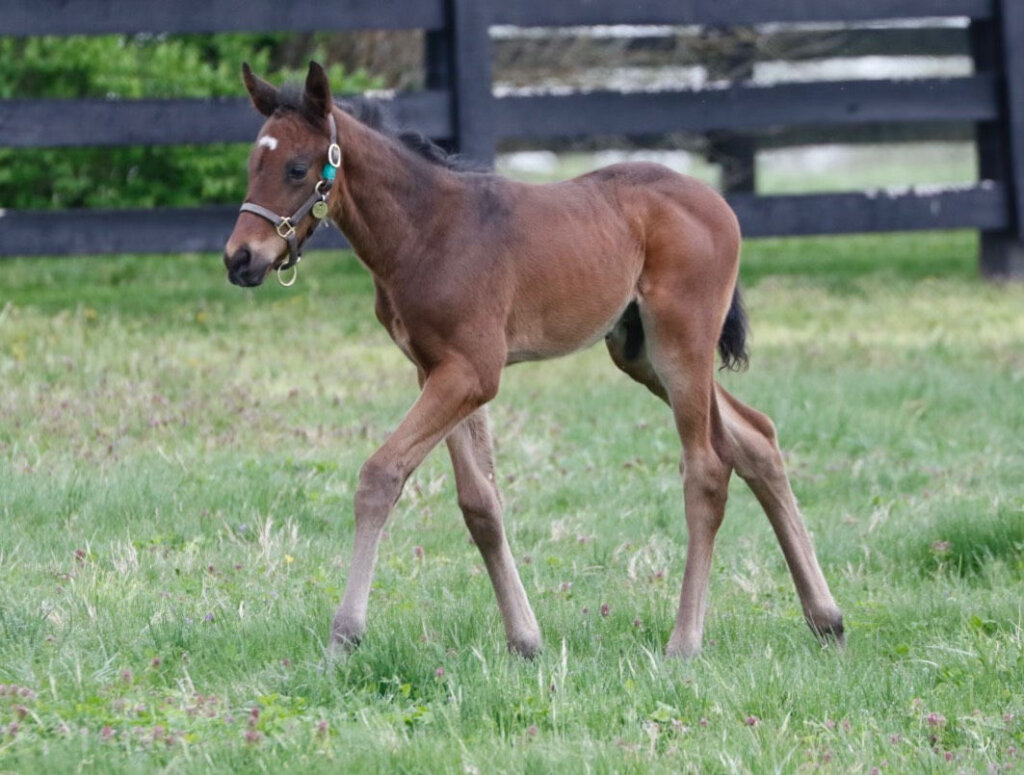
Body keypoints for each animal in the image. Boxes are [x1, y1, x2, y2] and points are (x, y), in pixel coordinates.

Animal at [222, 63, 839, 659]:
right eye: (254, 163)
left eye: (297, 168)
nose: (239, 259)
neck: (425, 230)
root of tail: (719, 205)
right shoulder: (435, 369)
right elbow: (480, 503)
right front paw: (524, 639)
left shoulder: (471, 371)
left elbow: (381, 474)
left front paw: (344, 637)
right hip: (638, 352)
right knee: (756, 436)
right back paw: (826, 618)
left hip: (680, 342)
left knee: (708, 468)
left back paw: (685, 642)